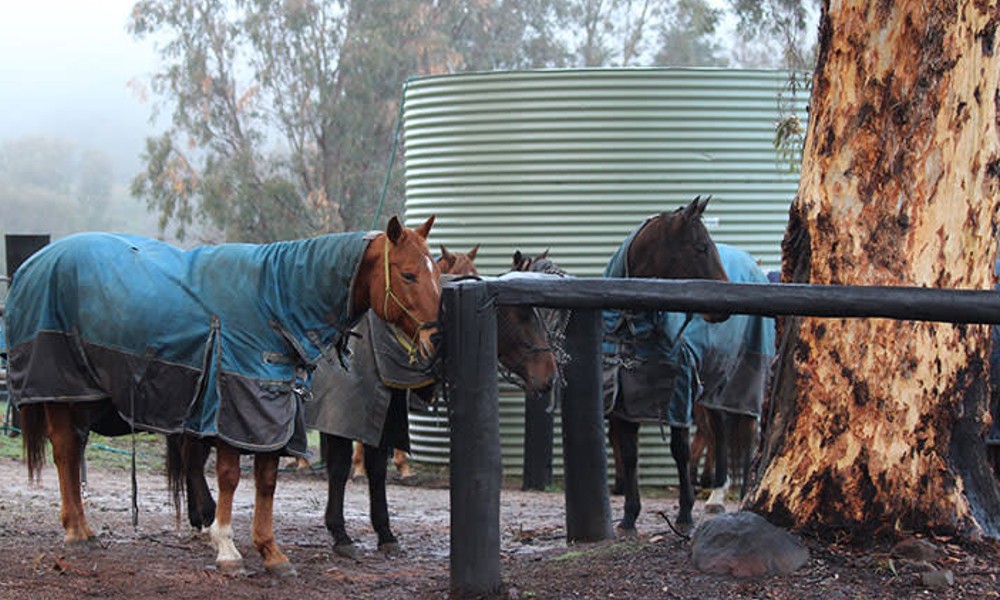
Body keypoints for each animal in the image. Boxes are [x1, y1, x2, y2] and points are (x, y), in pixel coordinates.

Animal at [5, 216, 440, 576]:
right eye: (408, 274)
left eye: (436, 273)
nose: (436, 339)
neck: (275, 303)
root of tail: (30, 265)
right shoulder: (235, 407)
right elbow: (230, 476)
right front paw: (227, 548)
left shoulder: (273, 415)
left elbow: (266, 481)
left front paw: (271, 552)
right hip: (61, 391)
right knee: (65, 452)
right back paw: (75, 532)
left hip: (84, 397)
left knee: (74, 449)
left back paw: (84, 528)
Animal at [600, 197, 772, 536]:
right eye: (701, 247)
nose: (725, 306)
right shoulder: (622, 404)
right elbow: (629, 455)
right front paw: (628, 518)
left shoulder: (679, 396)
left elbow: (679, 451)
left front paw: (684, 514)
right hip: (713, 390)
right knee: (720, 434)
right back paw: (716, 495)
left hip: (740, 385)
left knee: (746, 434)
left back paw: (742, 493)